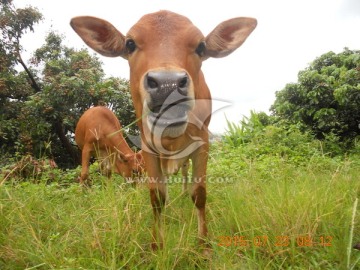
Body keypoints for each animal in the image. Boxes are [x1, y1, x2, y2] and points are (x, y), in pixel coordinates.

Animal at [70, 10, 256, 251]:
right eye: (130, 44)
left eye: (201, 46)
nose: (168, 85)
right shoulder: (147, 147)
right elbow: (157, 197)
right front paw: (156, 244)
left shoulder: (202, 142)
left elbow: (199, 193)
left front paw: (203, 242)